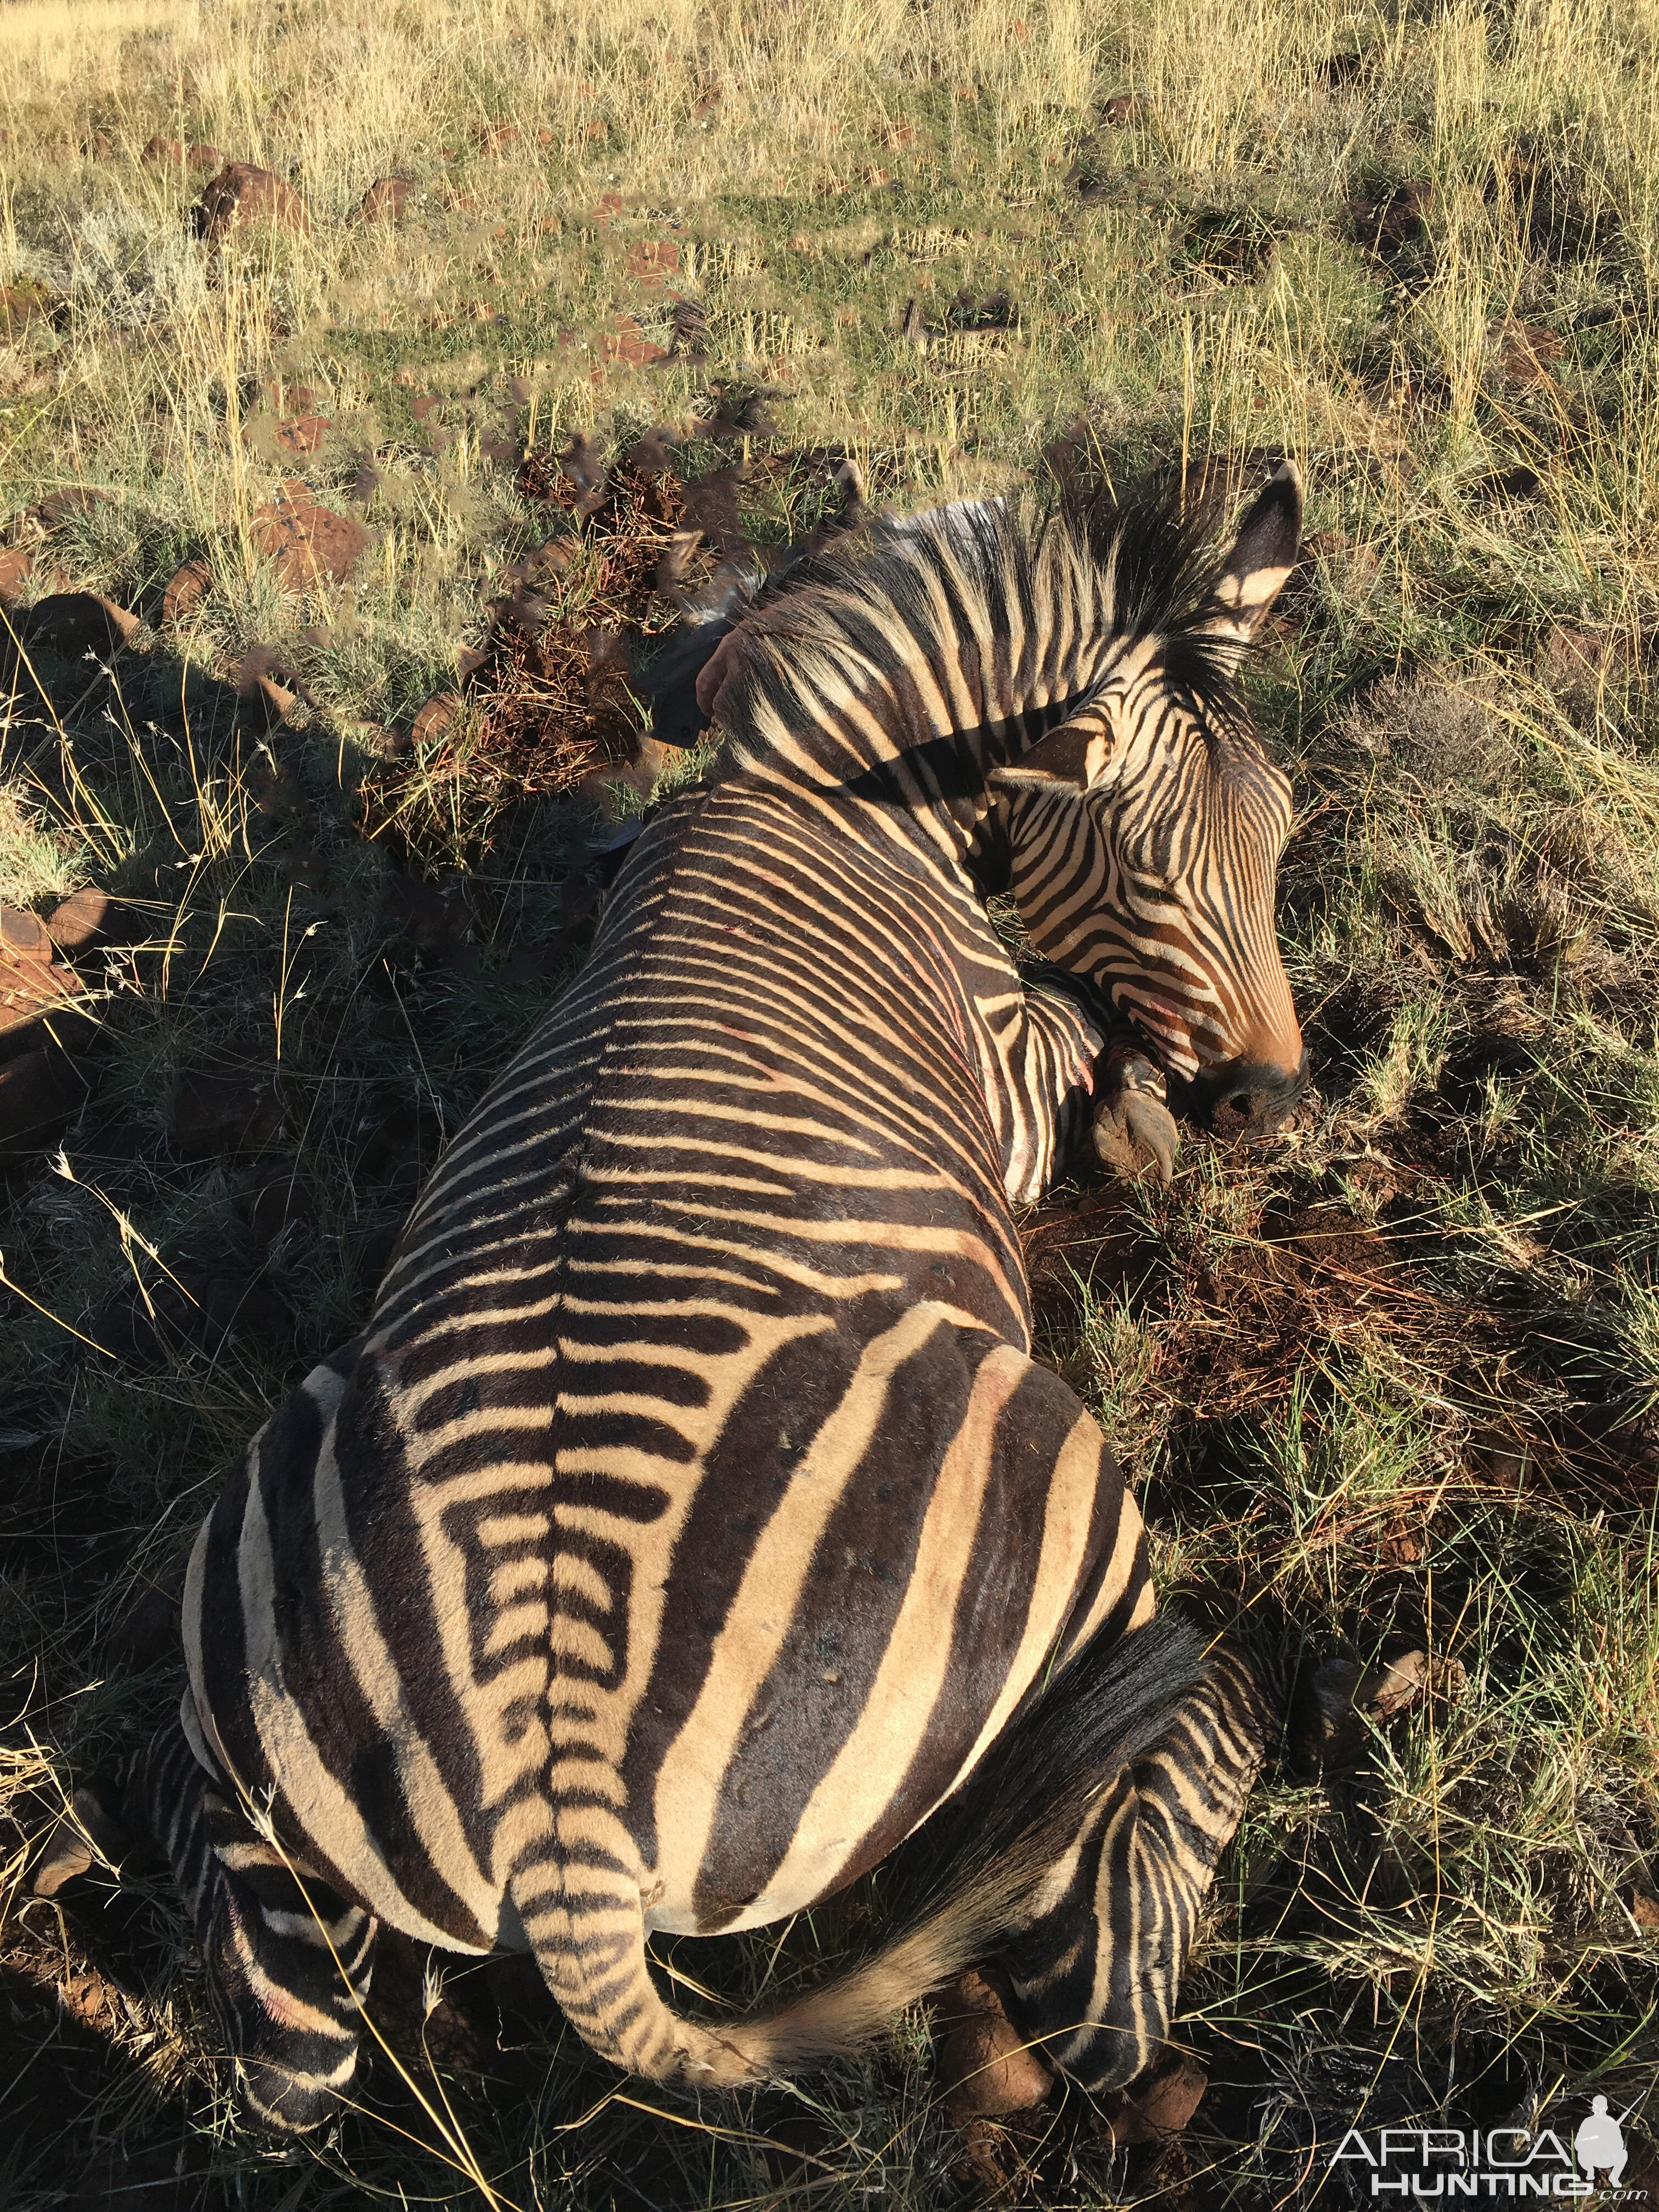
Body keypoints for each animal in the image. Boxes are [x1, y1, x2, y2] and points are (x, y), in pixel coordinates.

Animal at [117, 458, 1309, 2132]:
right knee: (1103, 1938)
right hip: (1064, 1488)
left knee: (286, 2064)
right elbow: (1073, 1032)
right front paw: (1137, 1102)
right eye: (1147, 873)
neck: (821, 797)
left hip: (268, 1666)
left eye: (1284, 835)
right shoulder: (1008, 1077)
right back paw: (1233, 1722)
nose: (1274, 1101)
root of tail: (568, 1843)